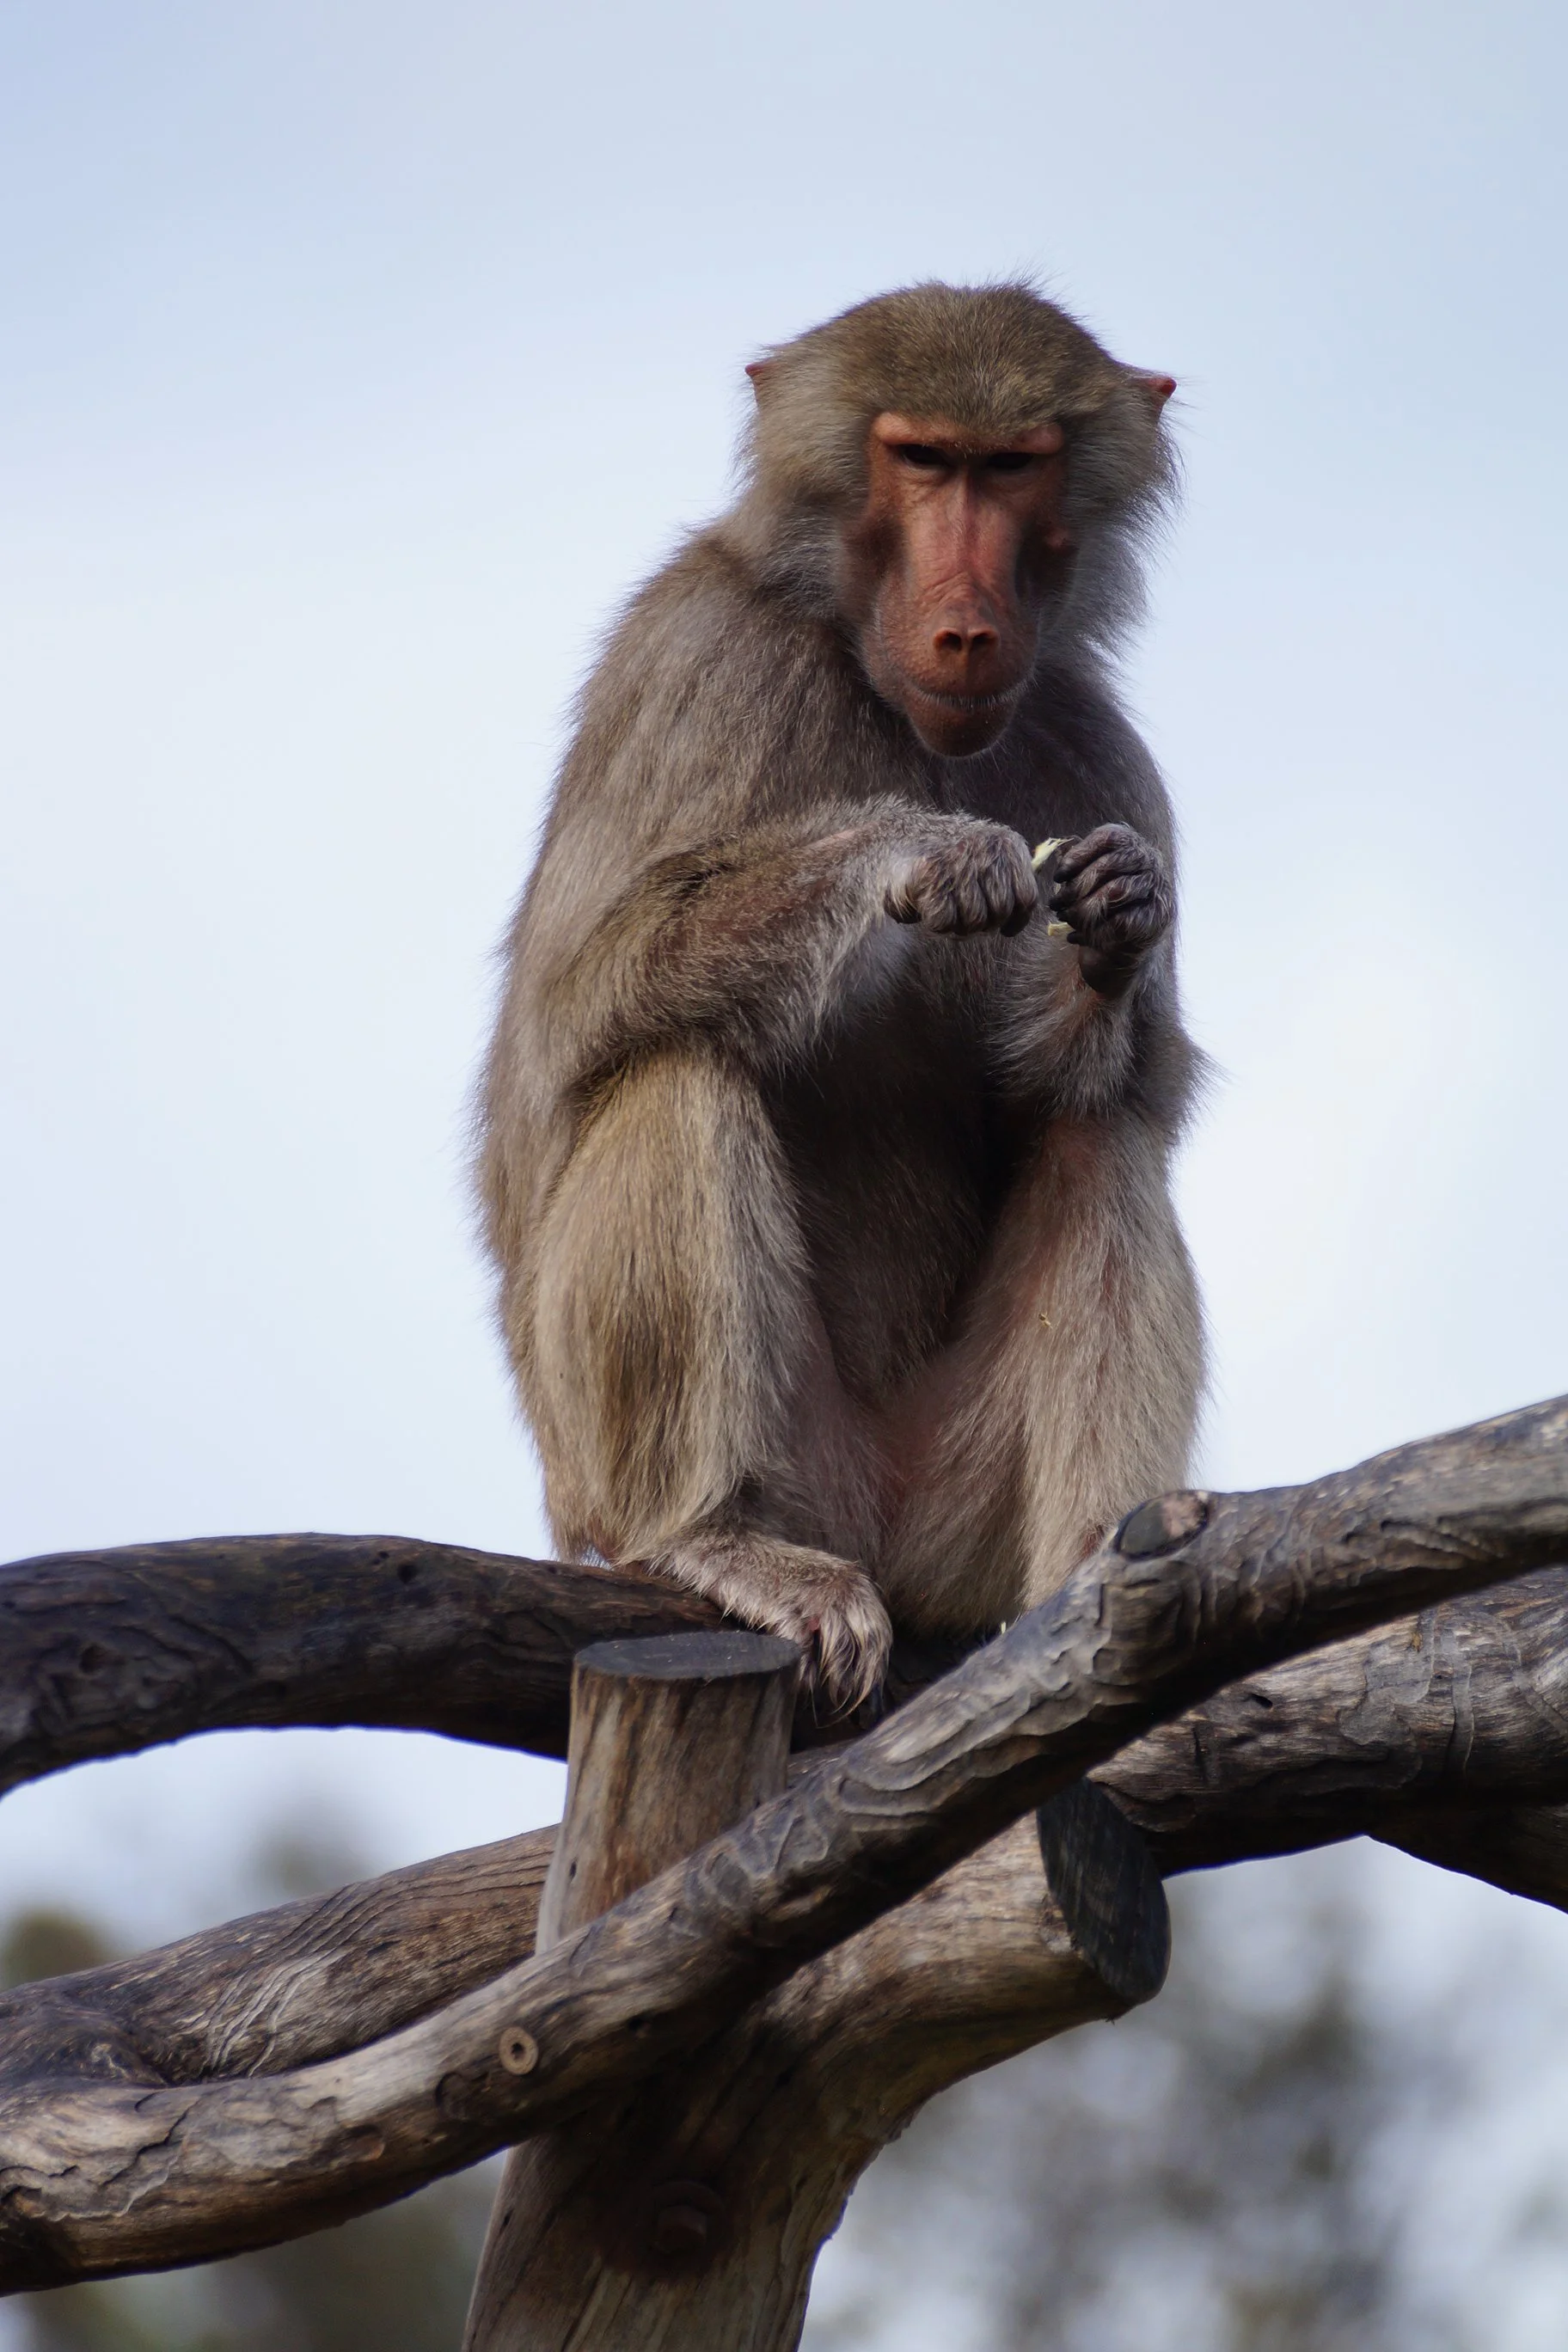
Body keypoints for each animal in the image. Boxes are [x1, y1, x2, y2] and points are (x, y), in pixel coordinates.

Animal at [478, 281, 1205, 1714]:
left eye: (1012, 466)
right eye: (921, 460)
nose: (969, 629)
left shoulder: (1096, 743)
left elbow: (1099, 1095)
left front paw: (1114, 927)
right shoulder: (695, 663)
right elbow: (576, 1013)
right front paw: (911, 850)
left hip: (949, 1512)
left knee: (1097, 1141)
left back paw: (1096, 1582)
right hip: (725, 1471)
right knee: (679, 1068)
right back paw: (711, 1538)